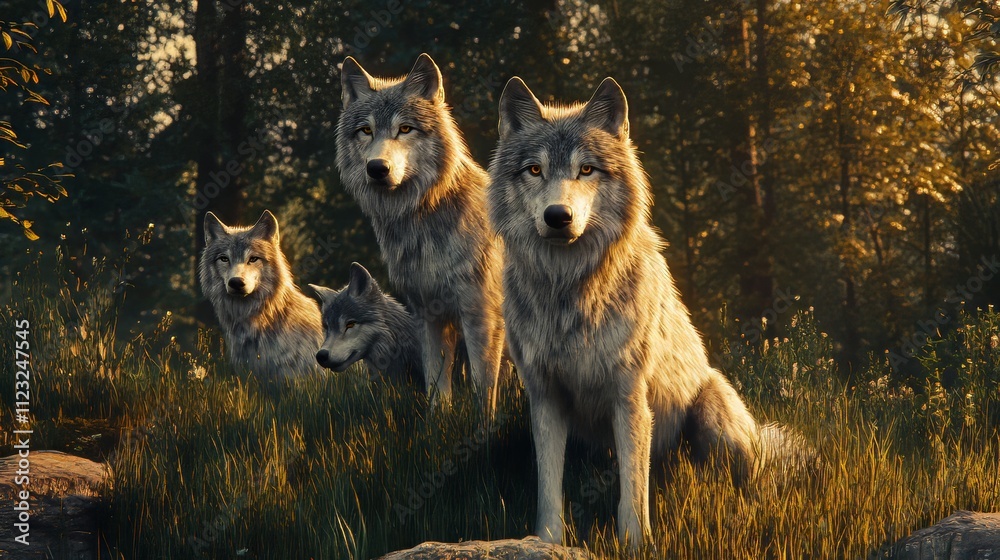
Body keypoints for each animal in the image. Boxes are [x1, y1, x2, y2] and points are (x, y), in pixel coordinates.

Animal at [336, 53, 505, 412]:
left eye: (404, 129)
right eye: (366, 130)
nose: (377, 168)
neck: (422, 225)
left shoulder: (480, 315)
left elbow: (483, 392)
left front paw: (485, 428)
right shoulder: (427, 315)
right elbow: (435, 388)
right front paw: (437, 422)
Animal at [488, 77, 806, 548]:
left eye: (586, 170)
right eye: (534, 170)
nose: (558, 216)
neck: (569, 292)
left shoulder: (630, 396)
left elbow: (634, 490)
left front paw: (636, 544)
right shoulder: (545, 397)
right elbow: (549, 488)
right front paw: (546, 543)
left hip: (714, 416)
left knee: (746, 490)